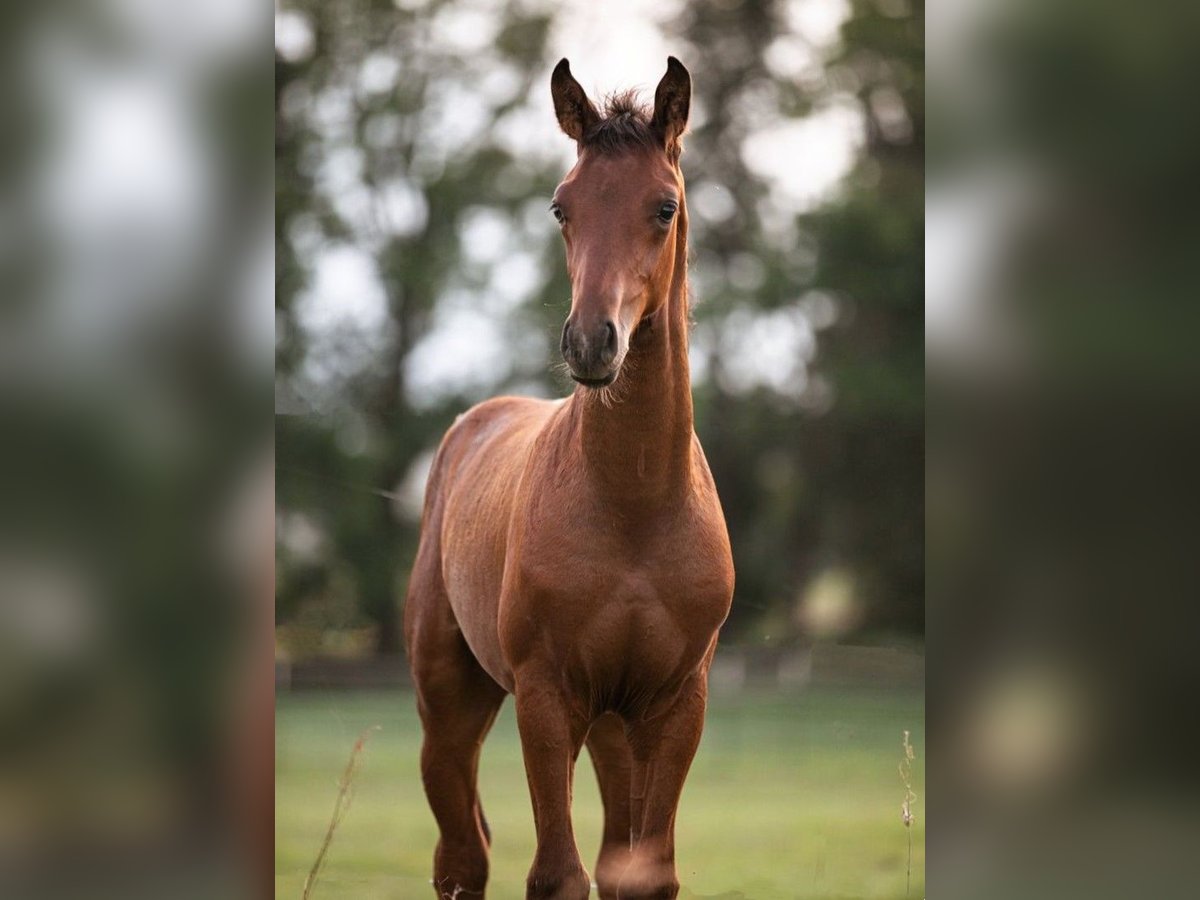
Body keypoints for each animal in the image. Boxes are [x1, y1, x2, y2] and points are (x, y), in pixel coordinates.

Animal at [408, 58, 734, 900]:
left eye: (663, 207)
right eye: (563, 206)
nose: (591, 343)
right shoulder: (546, 697)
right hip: (451, 708)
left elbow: (644, 875)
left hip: (616, 730)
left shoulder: (676, 705)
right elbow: (557, 874)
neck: (634, 507)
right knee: (462, 859)